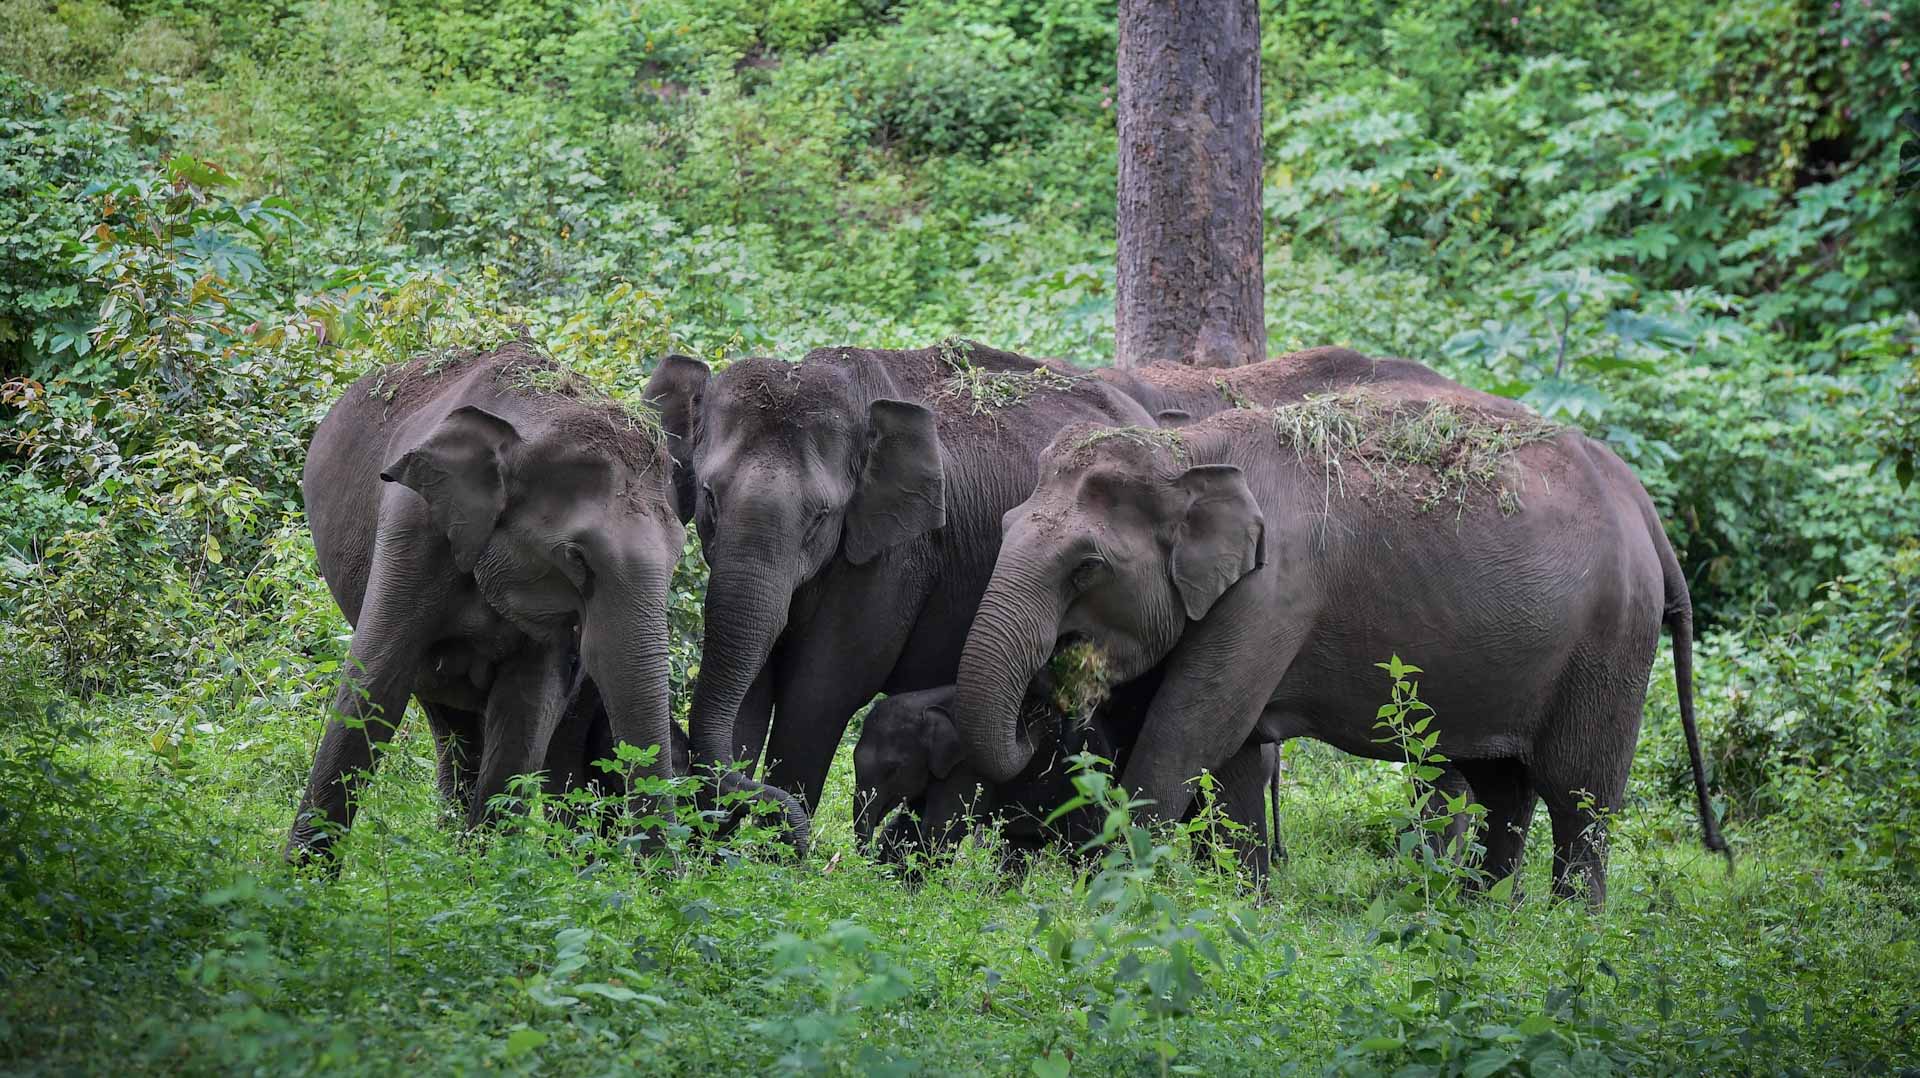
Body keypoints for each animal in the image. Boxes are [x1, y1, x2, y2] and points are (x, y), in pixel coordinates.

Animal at [286, 341, 808, 865]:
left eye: (680, 553)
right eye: (576, 557)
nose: (665, 874)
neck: (535, 417)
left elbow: (526, 708)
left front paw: (487, 871)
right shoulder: (413, 528)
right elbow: (374, 684)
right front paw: (302, 877)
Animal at [852, 680, 1283, 879]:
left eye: (892, 769)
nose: (860, 858)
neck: (925, 701)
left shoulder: (967, 768)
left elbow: (939, 829)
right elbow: (912, 826)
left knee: (1088, 848)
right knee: (1022, 847)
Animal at [951, 397, 1727, 905]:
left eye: (1086, 566)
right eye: (1006, 524)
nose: (1045, 713)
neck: (1190, 450)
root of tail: (1646, 510)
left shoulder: (1273, 595)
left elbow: (1188, 735)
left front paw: (1113, 901)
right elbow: (1234, 762)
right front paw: (1241, 906)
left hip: (1608, 642)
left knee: (1580, 797)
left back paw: (1566, 930)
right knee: (1504, 787)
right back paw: (1474, 917)